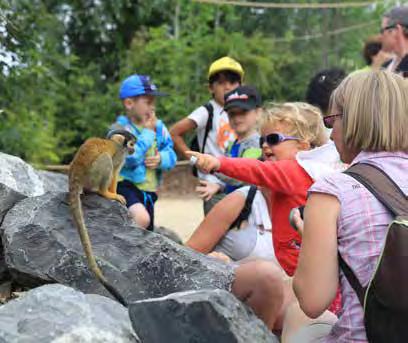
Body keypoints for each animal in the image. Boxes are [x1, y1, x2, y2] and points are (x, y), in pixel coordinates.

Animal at [68, 130, 135, 306]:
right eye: (132, 143)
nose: (134, 149)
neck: (118, 144)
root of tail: (75, 175)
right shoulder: (120, 153)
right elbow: (115, 170)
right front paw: (114, 193)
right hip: (91, 175)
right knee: (106, 159)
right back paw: (104, 192)